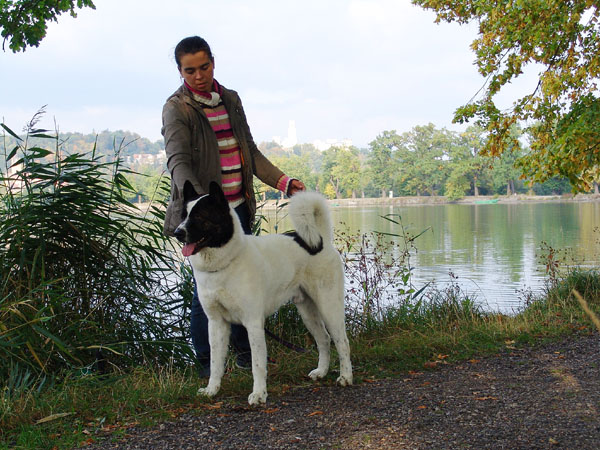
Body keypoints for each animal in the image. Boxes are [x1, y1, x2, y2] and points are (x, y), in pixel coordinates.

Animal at [174, 181, 352, 405]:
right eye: (183, 215)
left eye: (200, 216)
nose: (177, 232)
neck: (225, 264)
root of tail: (320, 240)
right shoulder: (216, 324)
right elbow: (215, 363)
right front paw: (212, 390)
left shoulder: (253, 323)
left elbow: (257, 364)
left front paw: (259, 394)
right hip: (307, 312)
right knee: (324, 340)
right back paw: (321, 371)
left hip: (328, 307)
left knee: (342, 341)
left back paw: (346, 376)